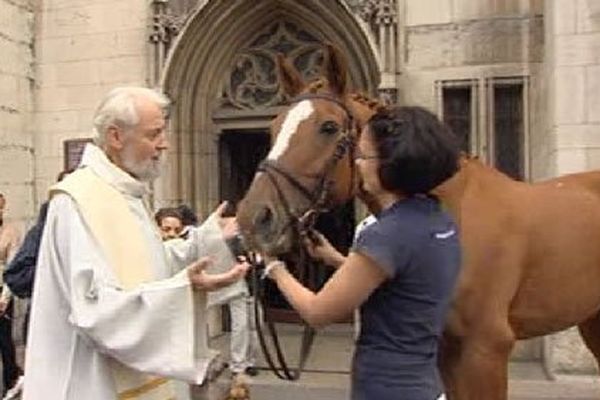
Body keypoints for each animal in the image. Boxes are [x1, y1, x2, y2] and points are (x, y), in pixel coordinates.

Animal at [236, 44, 600, 400]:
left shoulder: (486, 349)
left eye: (328, 127)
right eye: (273, 128)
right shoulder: (446, 349)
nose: (253, 219)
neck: (450, 209)